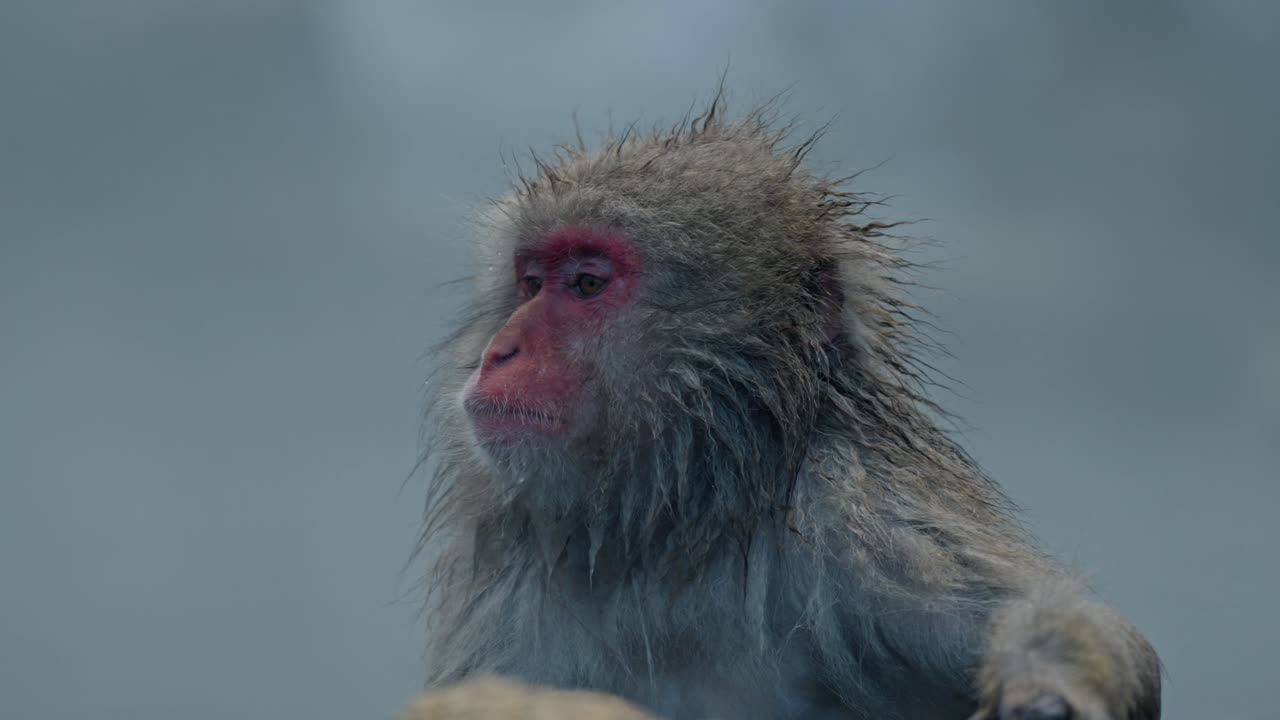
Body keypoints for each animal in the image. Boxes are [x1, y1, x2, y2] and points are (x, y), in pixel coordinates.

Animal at [413, 92, 1162, 720]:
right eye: (531, 281)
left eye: (587, 283)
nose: (500, 352)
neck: (683, 522)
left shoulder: (853, 509)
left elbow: (1056, 618)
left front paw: (1046, 689)